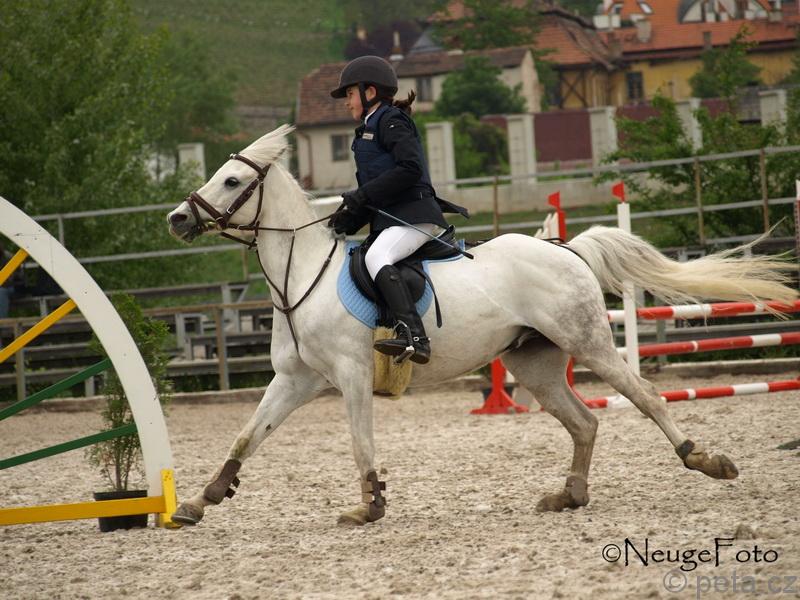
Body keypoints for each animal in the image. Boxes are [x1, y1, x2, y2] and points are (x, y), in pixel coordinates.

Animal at [166, 125, 798, 526]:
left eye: (230, 182)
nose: (176, 219)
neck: (302, 276)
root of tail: (565, 248)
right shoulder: (295, 380)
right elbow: (247, 435)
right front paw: (201, 500)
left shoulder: (349, 377)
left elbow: (359, 442)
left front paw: (370, 506)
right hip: (534, 363)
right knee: (584, 422)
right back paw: (568, 496)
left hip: (590, 342)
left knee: (647, 398)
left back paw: (705, 460)